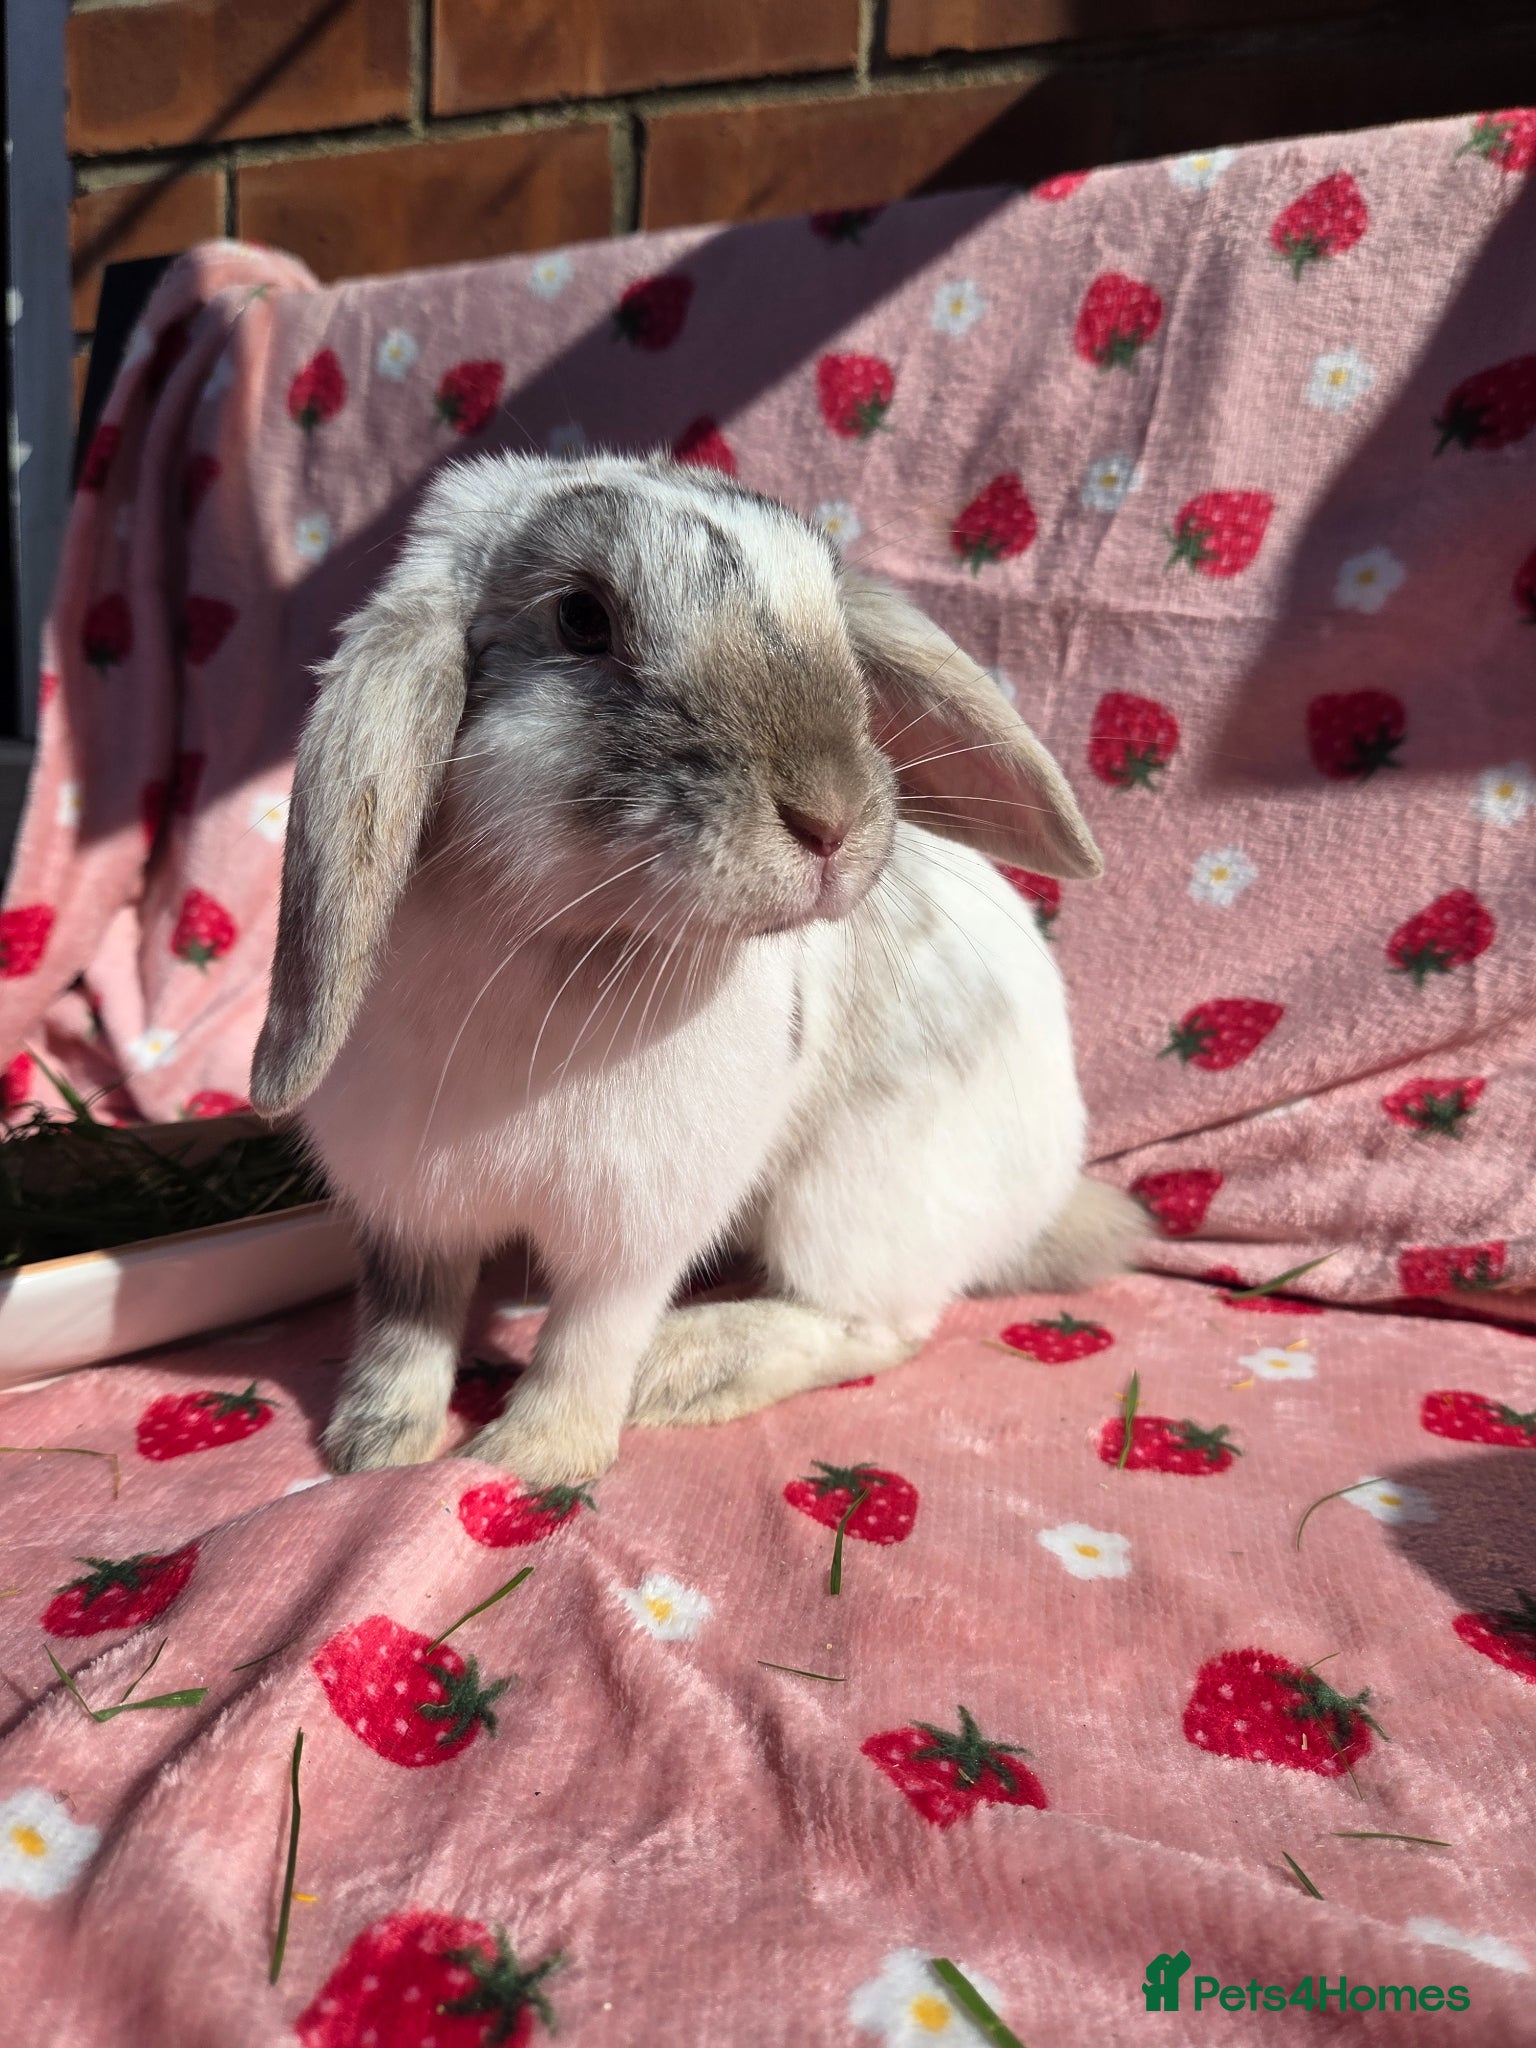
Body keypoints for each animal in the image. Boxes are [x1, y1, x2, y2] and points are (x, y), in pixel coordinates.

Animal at [251, 451, 1141, 1485]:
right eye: (581, 618)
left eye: (837, 629)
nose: (832, 816)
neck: (564, 938)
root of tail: (1050, 1192)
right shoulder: (409, 1208)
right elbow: (405, 1323)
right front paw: (373, 1446)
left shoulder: (634, 1228)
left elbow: (590, 1339)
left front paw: (529, 1460)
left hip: (853, 1198)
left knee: (878, 1324)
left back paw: (684, 1370)